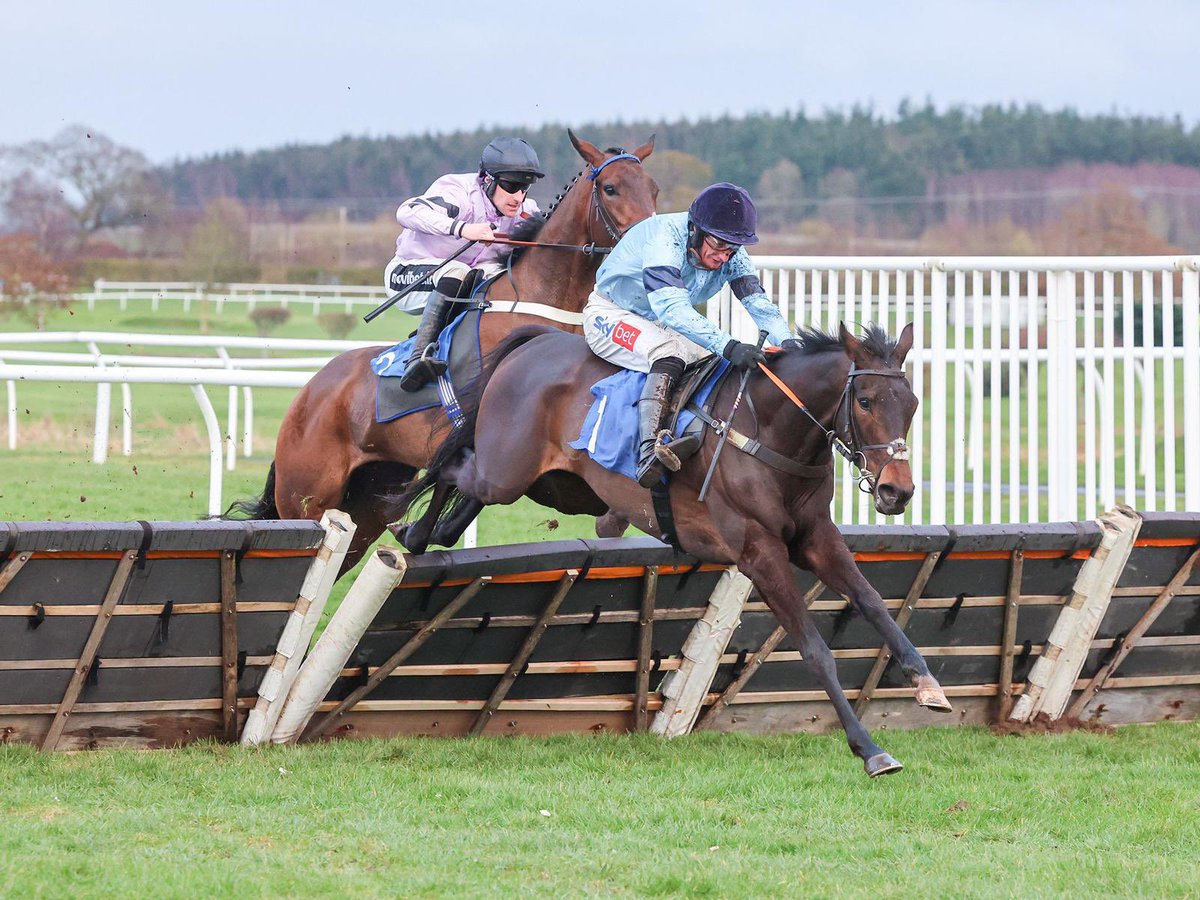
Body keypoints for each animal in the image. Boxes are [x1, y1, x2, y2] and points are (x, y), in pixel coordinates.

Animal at [229, 130, 662, 573]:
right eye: (610, 188)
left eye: (653, 188)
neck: (542, 297)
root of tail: (308, 393)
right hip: (307, 496)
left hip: (364, 506)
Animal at [398, 324, 950, 777]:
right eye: (866, 402)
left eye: (912, 403)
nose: (897, 491)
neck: (770, 433)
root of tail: (537, 341)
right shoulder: (758, 551)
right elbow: (815, 649)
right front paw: (870, 749)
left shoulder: (815, 537)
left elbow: (874, 602)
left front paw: (927, 684)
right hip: (505, 472)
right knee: (451, 464)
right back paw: (412, 532)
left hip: (552, 485)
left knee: (463, 492)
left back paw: (425, 533)